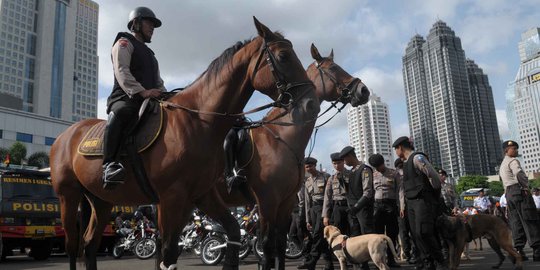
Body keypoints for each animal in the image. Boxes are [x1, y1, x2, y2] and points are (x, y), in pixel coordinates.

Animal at [49, 17, 318, 270]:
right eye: (283, 56)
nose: (311, 104)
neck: (197, 121)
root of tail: (65, 136)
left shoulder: (200, 196)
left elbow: (232, 232)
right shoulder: (174, 197)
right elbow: (168, 252)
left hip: (102, 200)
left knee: (90, 244)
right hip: (68, 196)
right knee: (72, 246)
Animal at [215, 43, 372, 268]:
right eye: (333, 68)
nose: (363, 90)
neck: (281, 137)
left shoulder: (286, 202)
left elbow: (281, 244)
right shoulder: (267, 202)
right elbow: (267, 246)